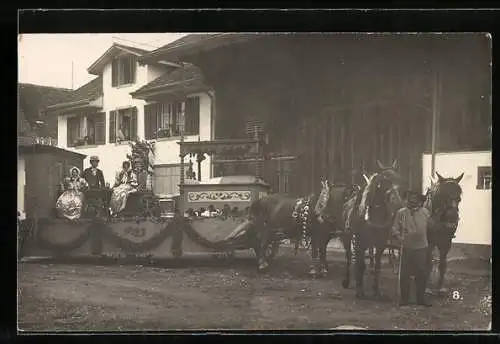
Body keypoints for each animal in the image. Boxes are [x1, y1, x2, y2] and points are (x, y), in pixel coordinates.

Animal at [344, 160, 406, 300]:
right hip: (347, 238)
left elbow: (377, 266)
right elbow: (360, 264)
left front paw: (376, 291)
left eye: (399, 179)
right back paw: (347, 281)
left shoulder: (380, 243)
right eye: (384, 181)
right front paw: (359, 290)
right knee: (349, 258)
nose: (399, 205)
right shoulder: (359, 242)